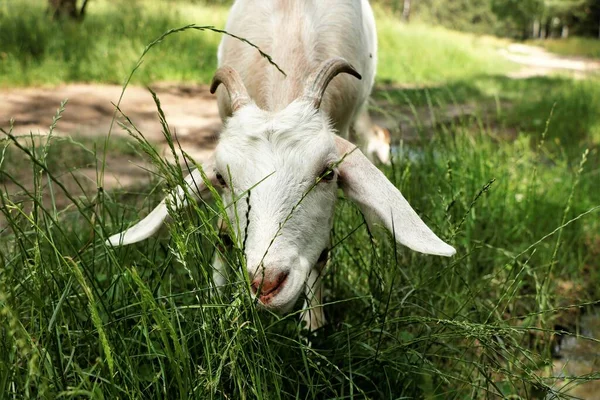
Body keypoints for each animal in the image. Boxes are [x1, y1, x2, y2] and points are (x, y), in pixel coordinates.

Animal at [108, 0, 454, 332]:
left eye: (328, 173)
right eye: (220, 177)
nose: (266, 284)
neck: (293, 24)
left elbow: (322, 252)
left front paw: (313, 325)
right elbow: (222, 232)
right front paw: (217, 303)